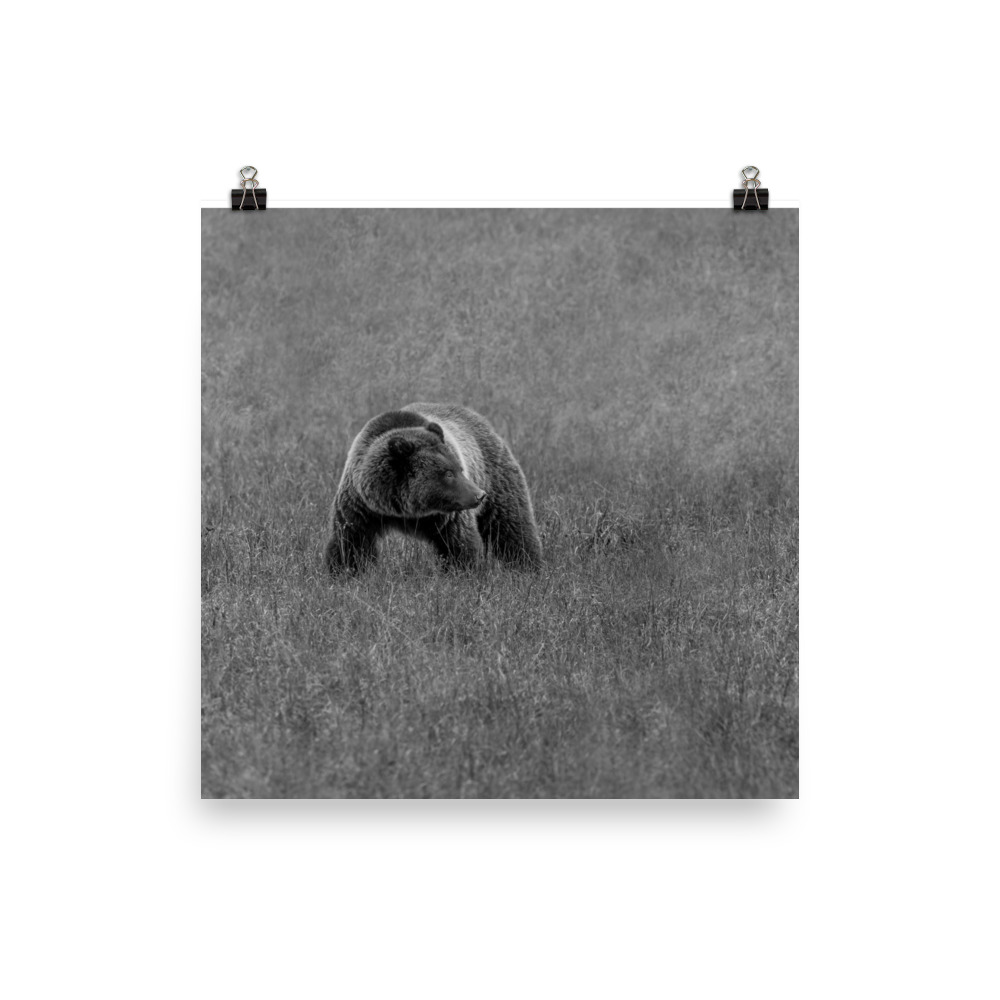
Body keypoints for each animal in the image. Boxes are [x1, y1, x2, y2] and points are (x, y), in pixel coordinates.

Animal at [325, 402, 542, 574]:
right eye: (448, 473)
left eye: (459, 468)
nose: (479, 495)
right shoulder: (361, 507)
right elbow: (350, 543)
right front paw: (345, 573)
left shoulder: (447, 516)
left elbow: (459, 544)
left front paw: (463, 573)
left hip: (496, 476)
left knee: (511, 526)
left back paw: (528, 567)